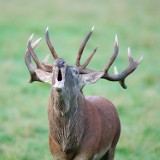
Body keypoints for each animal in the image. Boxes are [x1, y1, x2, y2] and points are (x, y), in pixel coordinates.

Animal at [24, 26, 142, 159]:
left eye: (76, 72)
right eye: (53, 69)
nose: (60, 61)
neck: (66, 147)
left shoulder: (87, 151)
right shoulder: (55, 153)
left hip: (113, 144)